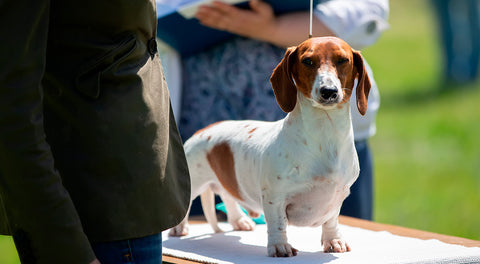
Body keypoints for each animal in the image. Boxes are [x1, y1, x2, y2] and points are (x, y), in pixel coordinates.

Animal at [169, 36, 372, 256]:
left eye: (343, 60)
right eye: (308, 61)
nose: (329, 91)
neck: (324, 135)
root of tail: (203, 130)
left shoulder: (337, 196)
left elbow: (331, 220)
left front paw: (334, 241)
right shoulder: (275, 196)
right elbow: (278, 223)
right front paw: (279, 246)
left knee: (227, 194)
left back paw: (239, 221)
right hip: (194, 181)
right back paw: (179, 228)